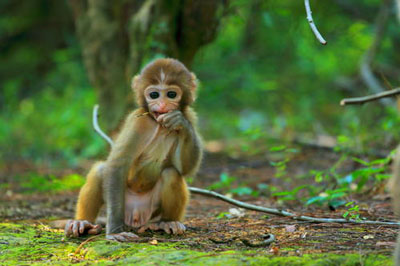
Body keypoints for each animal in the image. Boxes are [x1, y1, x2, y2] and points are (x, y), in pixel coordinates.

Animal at [66, 58, 203, 241]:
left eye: (171, 94)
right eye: (154, 95)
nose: (162, 104)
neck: (158, 125)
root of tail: (136, 218)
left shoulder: (190, 115)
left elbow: (186, 169)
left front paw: (180, 123)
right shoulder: (138, 122)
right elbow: (117, 166)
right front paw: (115, 231)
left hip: (152, 212)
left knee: (171, 173)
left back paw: (167, 222)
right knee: (101, 169)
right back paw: (83, 222)